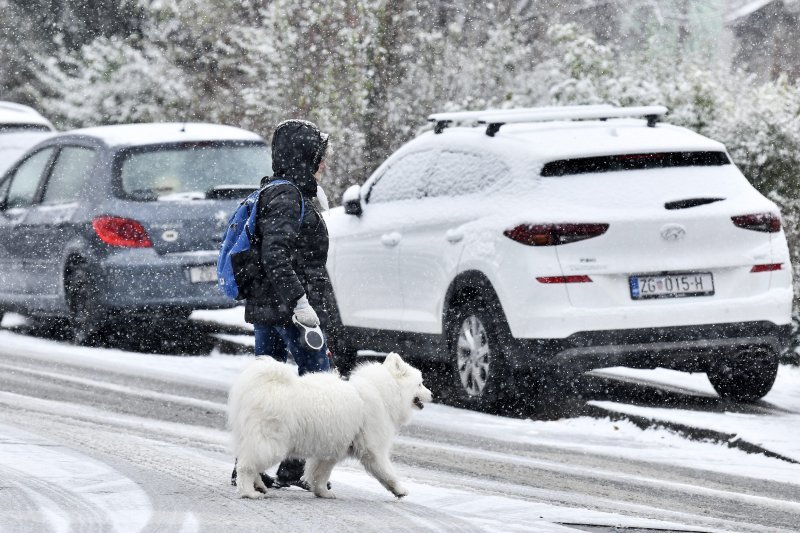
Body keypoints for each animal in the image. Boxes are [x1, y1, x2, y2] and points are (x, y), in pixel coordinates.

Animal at [228, 352, 434, 496]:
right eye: (420, 384)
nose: (432, 394)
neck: (383, 393)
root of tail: (262, 386)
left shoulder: (330, 450)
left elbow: (319, 474)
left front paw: (322, 492)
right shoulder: (372, 448)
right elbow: (387, 472)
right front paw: (400, 490)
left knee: (249, 463)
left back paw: (259, 486)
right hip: (271, 443)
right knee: (246, 466)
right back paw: (248, 492)